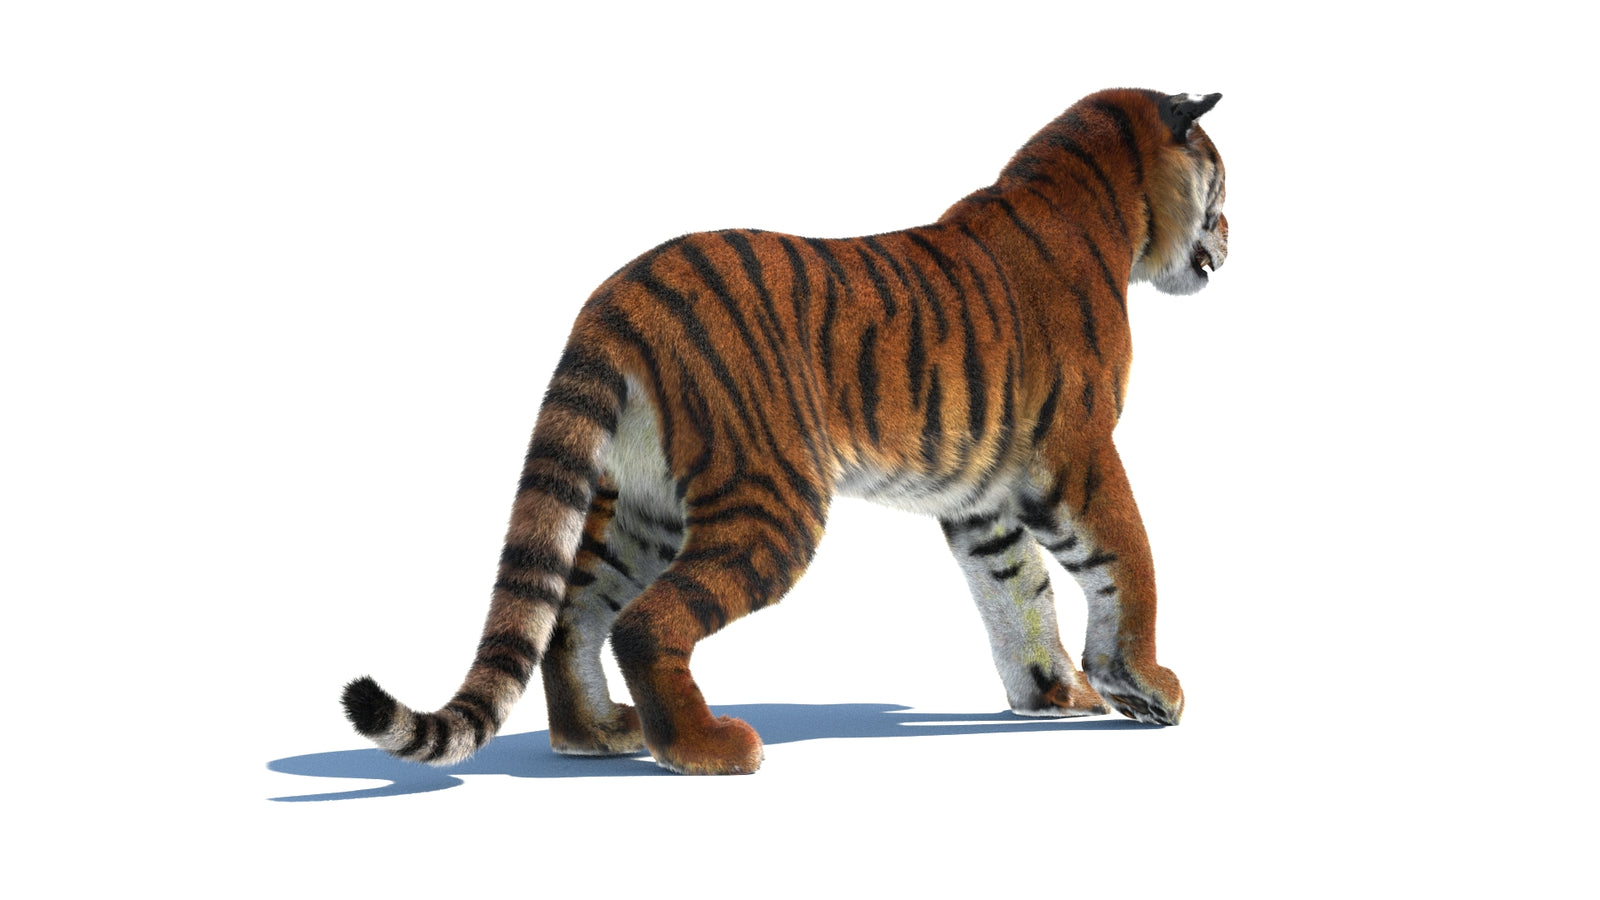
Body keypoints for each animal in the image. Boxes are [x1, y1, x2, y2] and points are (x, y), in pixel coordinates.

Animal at [341, 87, 1227, 775]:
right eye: (1221, 181)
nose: (1231, 236)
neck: (1111, 213)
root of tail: (621, 295)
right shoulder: (1077, 451)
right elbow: (1129, 557)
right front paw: (1146, 684)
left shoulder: (984, 496)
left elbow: (1020, 589)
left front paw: (1055, 694)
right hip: (774, 497)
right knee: (644, 623)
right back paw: (706, 748)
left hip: (645, 508)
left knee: (569, 614)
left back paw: (595, 734)